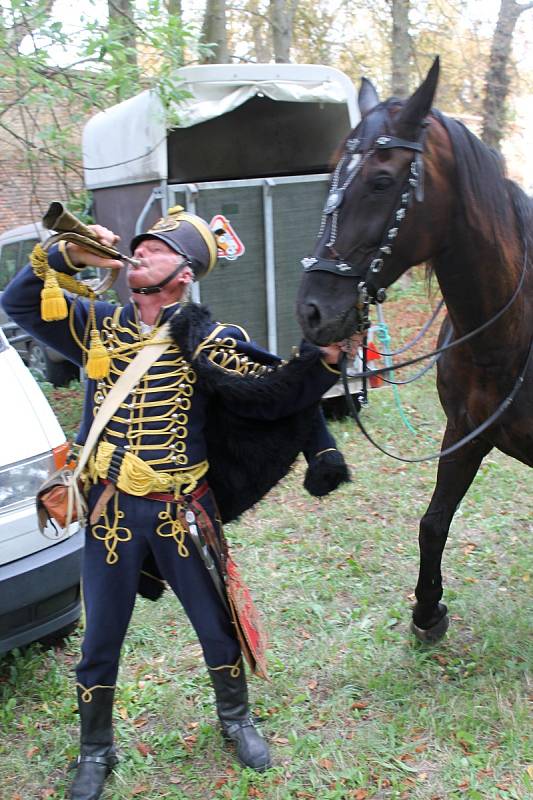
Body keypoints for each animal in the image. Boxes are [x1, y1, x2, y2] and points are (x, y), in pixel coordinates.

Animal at [298, 56, 528, 644]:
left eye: (382, 181)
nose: (311, 311)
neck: (506, 340)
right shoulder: (465, 434)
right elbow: (433, 522)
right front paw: (427, 610)